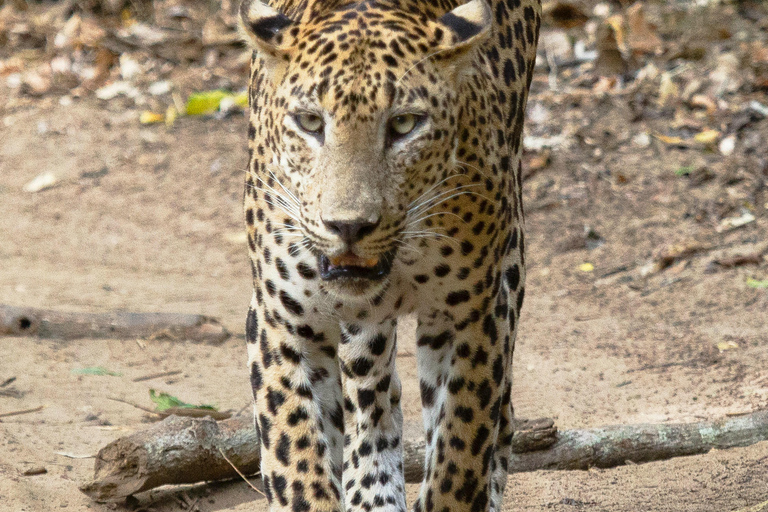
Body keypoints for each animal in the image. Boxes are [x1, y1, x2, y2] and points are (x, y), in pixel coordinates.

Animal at [240, 0, 540, 510]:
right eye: (310, 122)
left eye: (404, 124)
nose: (349, 226)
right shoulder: (282, 322)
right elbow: (297, 461)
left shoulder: (474, 317)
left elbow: (460, 453)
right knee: (373, 391)